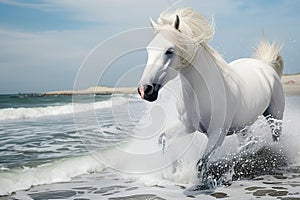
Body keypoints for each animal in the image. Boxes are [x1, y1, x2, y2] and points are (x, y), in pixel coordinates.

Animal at [137, 7, 284, 186]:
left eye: (169, 51)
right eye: (149, 50)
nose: (145, 90)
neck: (200, 92)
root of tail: (266, 66)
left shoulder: (217, 134)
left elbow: (201, 162)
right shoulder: (187, 126)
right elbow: (162, 138)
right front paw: (170, 172)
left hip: (275, 117)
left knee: (275, 140)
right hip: (243, 126)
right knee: (248, 142)